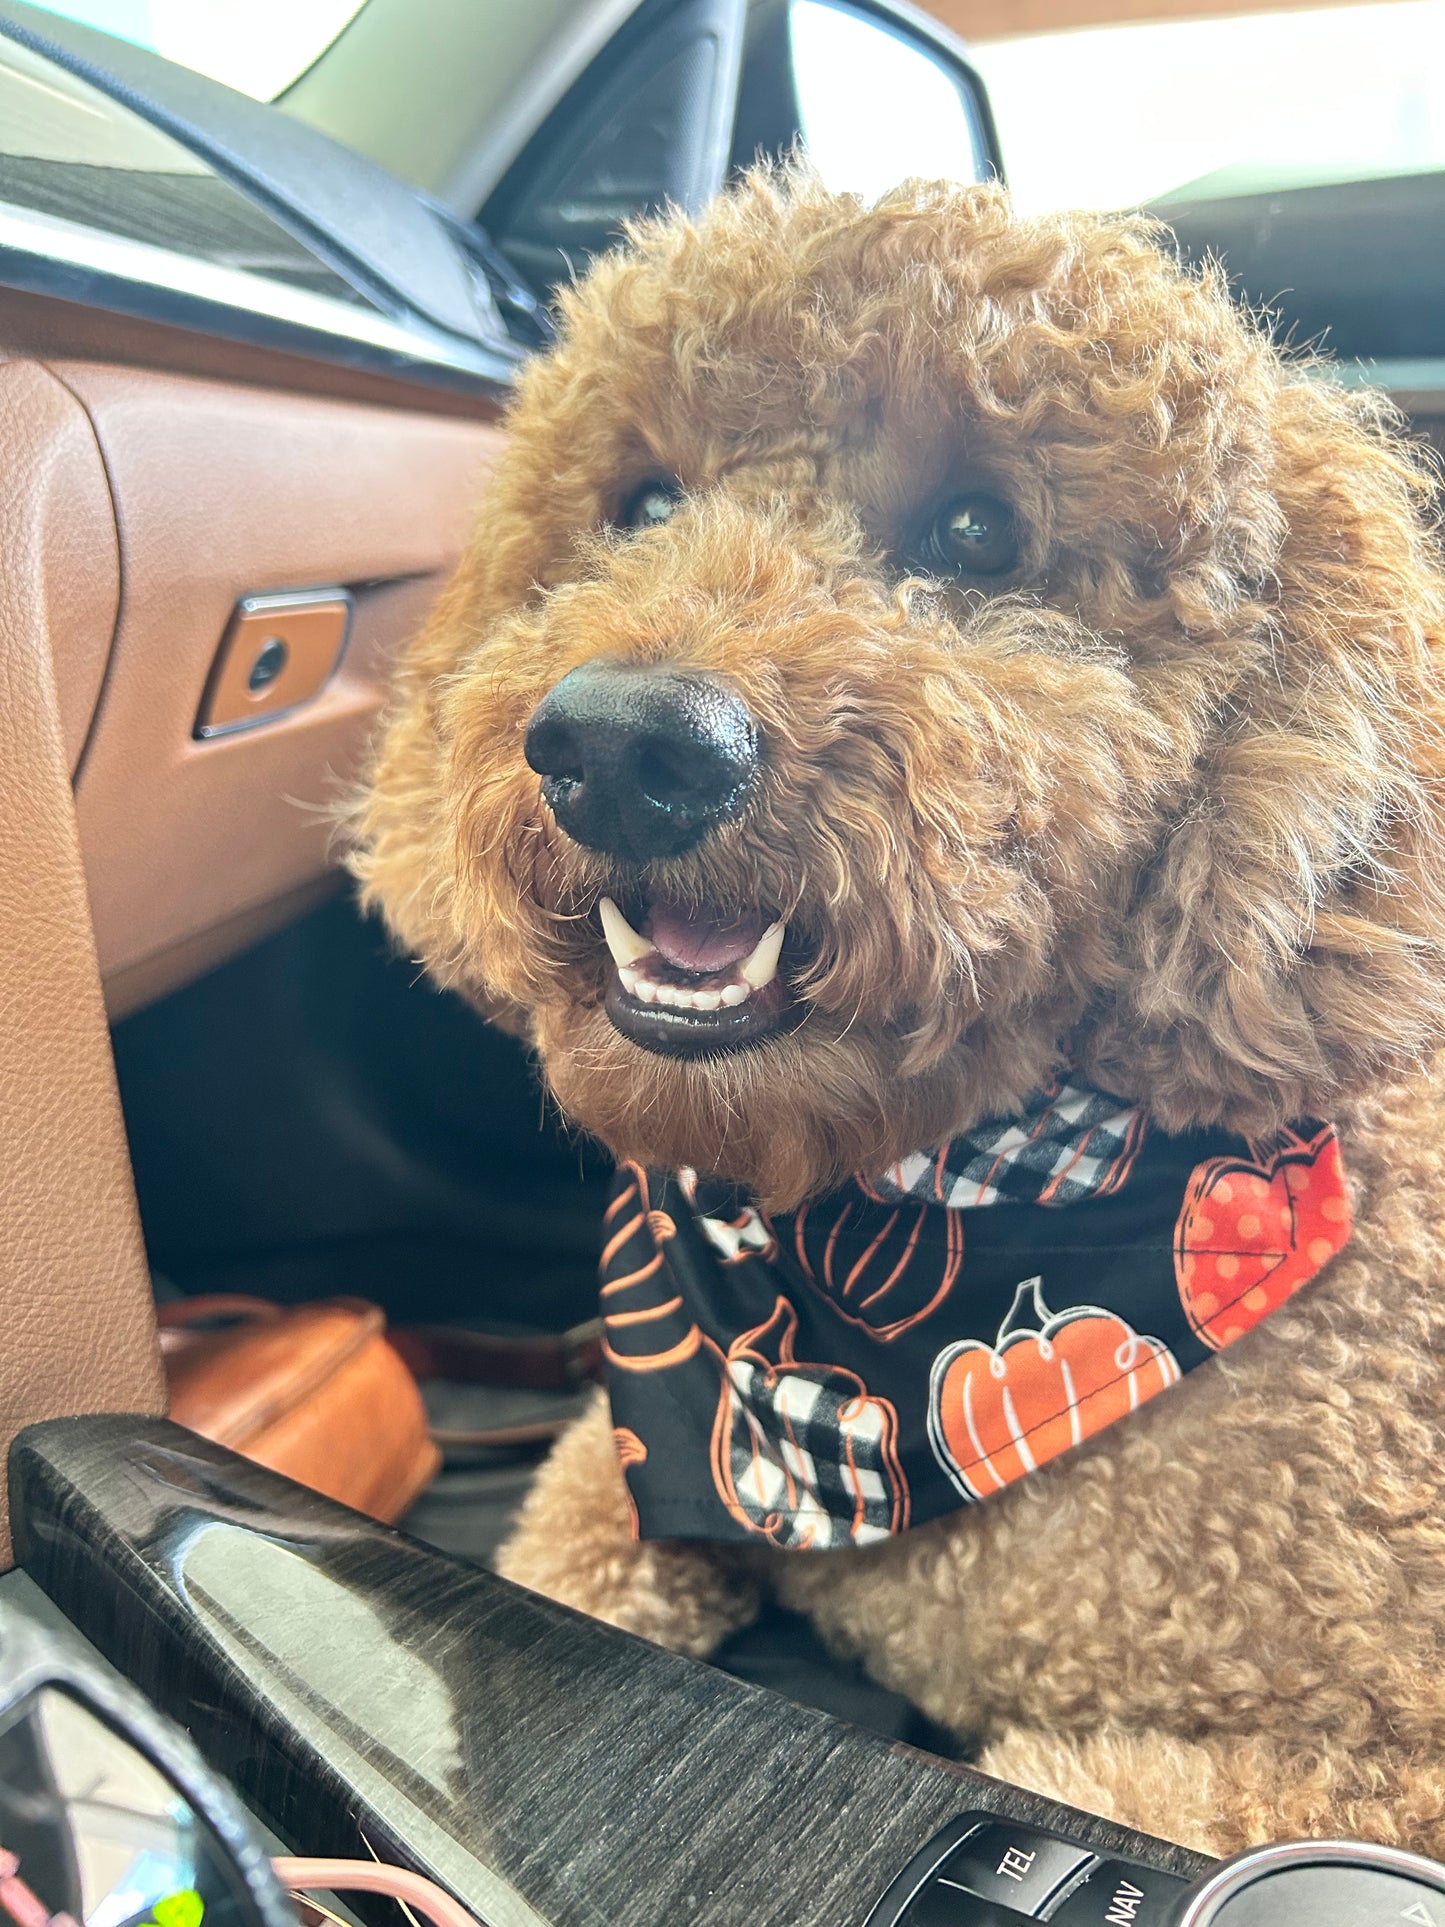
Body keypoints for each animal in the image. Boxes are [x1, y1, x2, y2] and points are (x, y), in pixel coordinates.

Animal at [356, 173, 1445, 1857]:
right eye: (643, 503)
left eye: (979, 530)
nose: (626, 747)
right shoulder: (621, 1460)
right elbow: (571, 1542)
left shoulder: (1363, 1767)